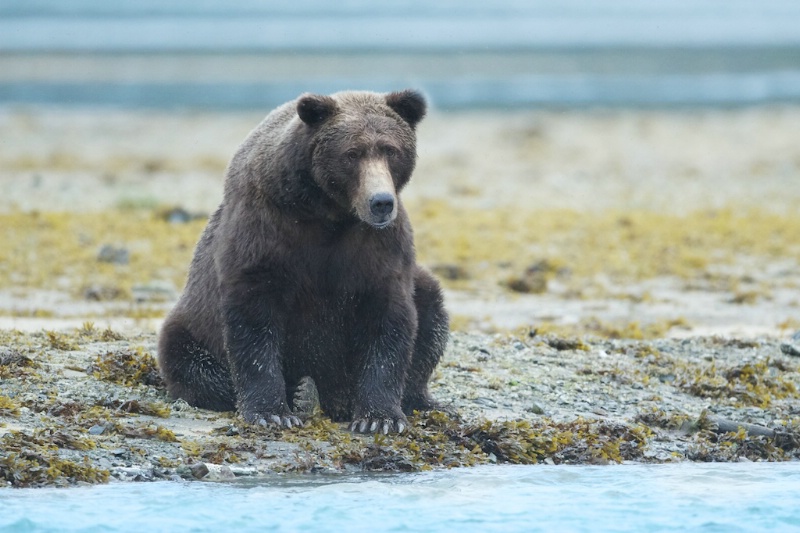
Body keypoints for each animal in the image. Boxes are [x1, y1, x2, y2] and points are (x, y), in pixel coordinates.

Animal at [155, 90, 444, 432]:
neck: (331, 213)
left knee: (430, 310)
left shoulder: (378, 248)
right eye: (351, 153)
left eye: (391, 150)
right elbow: (254, 319)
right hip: (192, 325)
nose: (381, 202)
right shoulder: (268, 230)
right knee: (194, 366)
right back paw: (304, 392)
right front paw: (272, 411)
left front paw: (379, 418)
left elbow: (389, 320)